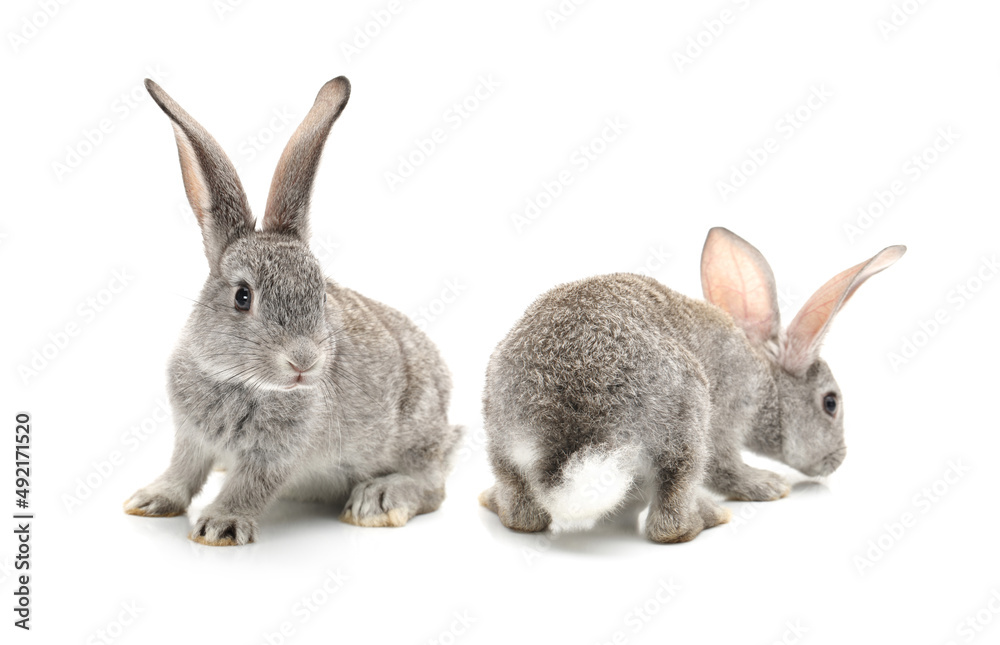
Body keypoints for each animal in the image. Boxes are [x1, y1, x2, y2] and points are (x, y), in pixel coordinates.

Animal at [123, 76, 461, 545]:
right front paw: (151, 500)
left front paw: (220, 525)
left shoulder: (276, 455)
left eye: (320, 295)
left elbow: (250, 486)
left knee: (433, 485)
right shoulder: (190, 438)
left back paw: (378, 500)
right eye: (242, 296)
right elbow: (183, 470)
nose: (304, 361)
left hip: (415, 432)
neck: (241, 381)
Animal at [480, 227, 905, 543]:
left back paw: (493, 501)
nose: (838, 460)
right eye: (830, 403)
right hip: (687, 416)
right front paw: (769, 486)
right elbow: (725, 465)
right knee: (670, 518)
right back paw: (708, 517)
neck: (766, 381)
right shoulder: (731, 411)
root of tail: (571, 428)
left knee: (522, 512)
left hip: (500, 432)